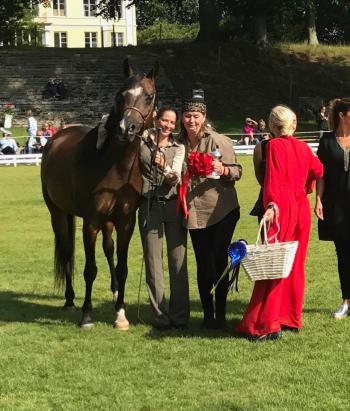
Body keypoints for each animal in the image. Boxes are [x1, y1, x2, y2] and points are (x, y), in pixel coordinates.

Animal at [40, 58, 159, 330]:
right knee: (66, 251)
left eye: (149, 96)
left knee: (108, 248)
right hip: (58, 213)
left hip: (106, 222)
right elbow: (90, 269)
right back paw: (70, 299)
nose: (127, 128)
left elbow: (122, 266)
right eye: (121, 95)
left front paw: (121, 314)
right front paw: (86, 315)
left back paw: (114, 291)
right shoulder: (91, 222)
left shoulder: (125, 222)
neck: (115, 166)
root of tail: (57, 137)